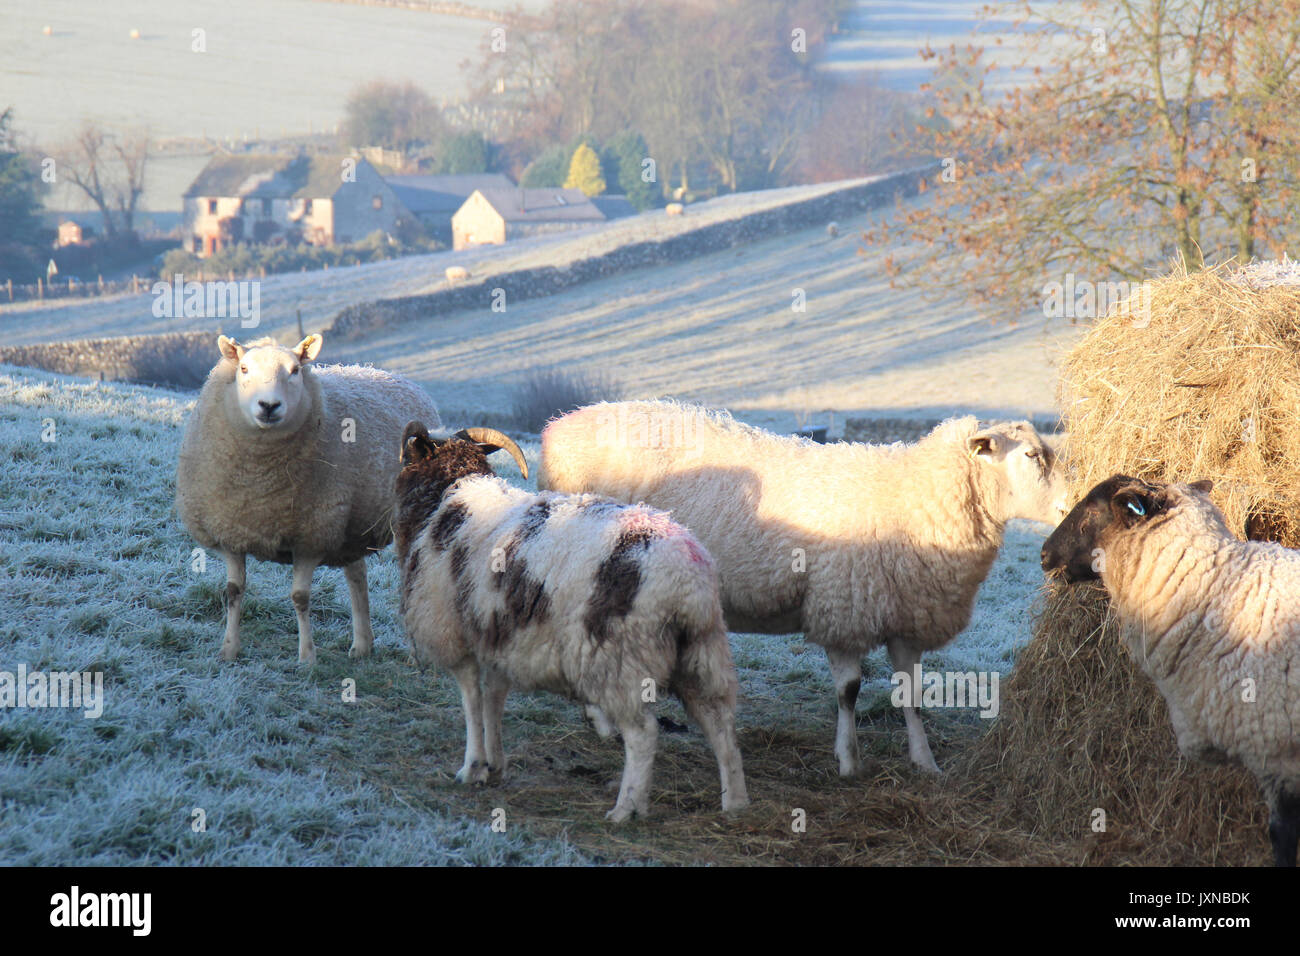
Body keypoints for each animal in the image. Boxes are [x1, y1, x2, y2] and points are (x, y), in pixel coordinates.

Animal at [172, 335, 441, 665]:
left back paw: (415, 656)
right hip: (350, 528)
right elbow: (233, 591)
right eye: (244, 368)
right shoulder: (231, 534)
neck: (258, 482)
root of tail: (396, 377)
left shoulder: (311, 537)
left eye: (295, 370)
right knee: (357, 575)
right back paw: (362, 645)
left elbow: (300, 598)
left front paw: (307, 658)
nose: (269, 405)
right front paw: (229, 650)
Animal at [390, 424, 748, 822]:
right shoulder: (499, 632)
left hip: (620, 658)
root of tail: (687, 576)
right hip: (702, 651)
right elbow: (493, 699)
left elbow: (472, 701)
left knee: (643, 734)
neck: (450, 497)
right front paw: (495, 765)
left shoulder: (455, 631)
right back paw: (734, 802)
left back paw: (625, 808)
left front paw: (471, 768)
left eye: (407, 459)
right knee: (720, 724)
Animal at [538, 403, 1066, 780]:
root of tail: (558, 428)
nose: (1068, 507)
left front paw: (925, 763)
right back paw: (603, 724)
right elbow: (849, 691)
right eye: (1031, 456)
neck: (915, 495)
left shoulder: (904, 615)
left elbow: (911, 695)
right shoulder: (844, 606)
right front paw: (848, 761)